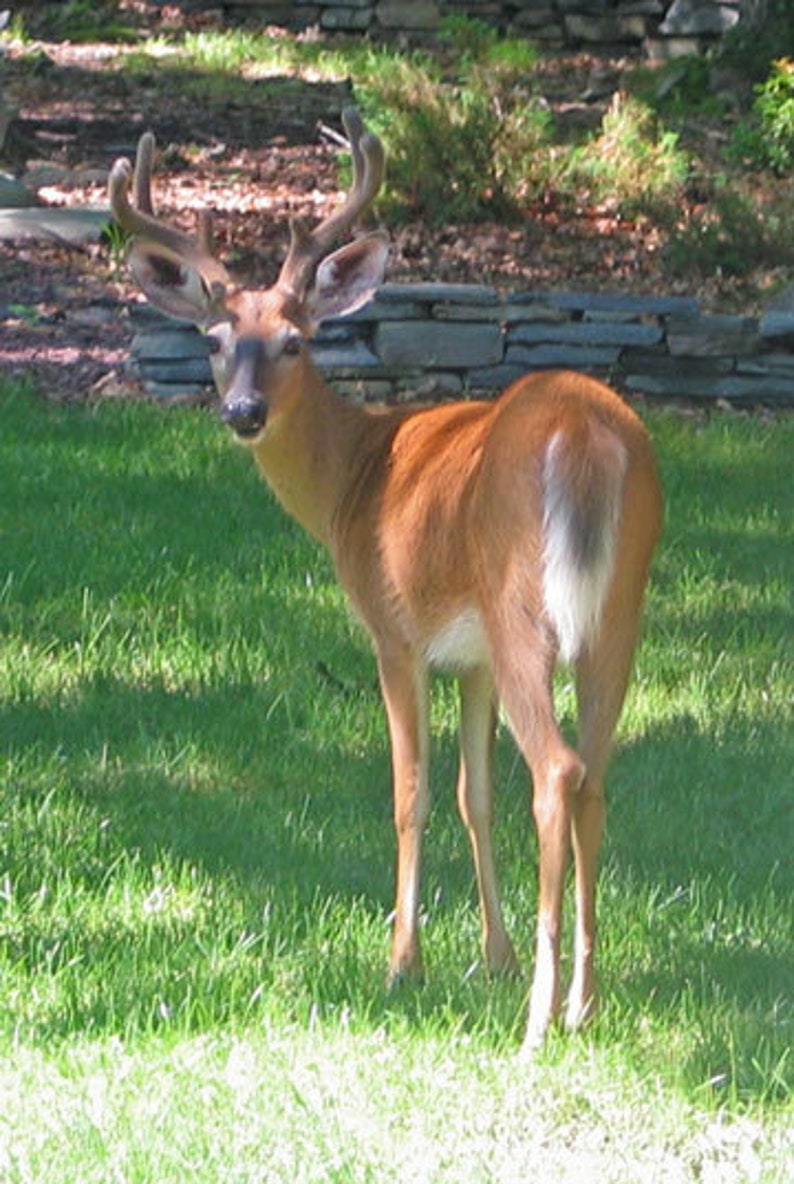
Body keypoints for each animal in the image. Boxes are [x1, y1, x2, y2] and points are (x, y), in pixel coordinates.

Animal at [108, 110, 662, 1053]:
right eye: (215, 342)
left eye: (294, 341)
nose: (242, 412)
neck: (354, 475)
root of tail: (587, 435)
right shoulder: (472, 659)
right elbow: (476, 796)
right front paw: (491, 956)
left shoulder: (396, 632)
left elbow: (412, 792)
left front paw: (406, 962)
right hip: (617, 608)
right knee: (594, 772)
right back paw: (583, 999)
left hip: (522, 605)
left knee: (556, 770)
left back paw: (540, 1018)